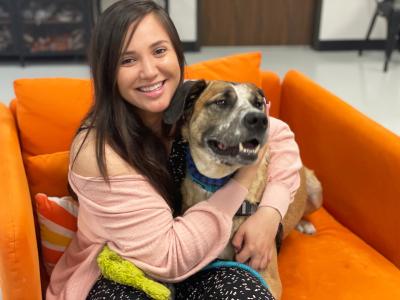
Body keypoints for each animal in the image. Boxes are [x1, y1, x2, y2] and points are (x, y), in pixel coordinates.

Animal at [162, 79, 322, 300]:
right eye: (221, 102)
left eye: (258, 104)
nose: (260, 119)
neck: (217, 184)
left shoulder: (269, 277)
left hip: (316, 190)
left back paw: (304, 224)